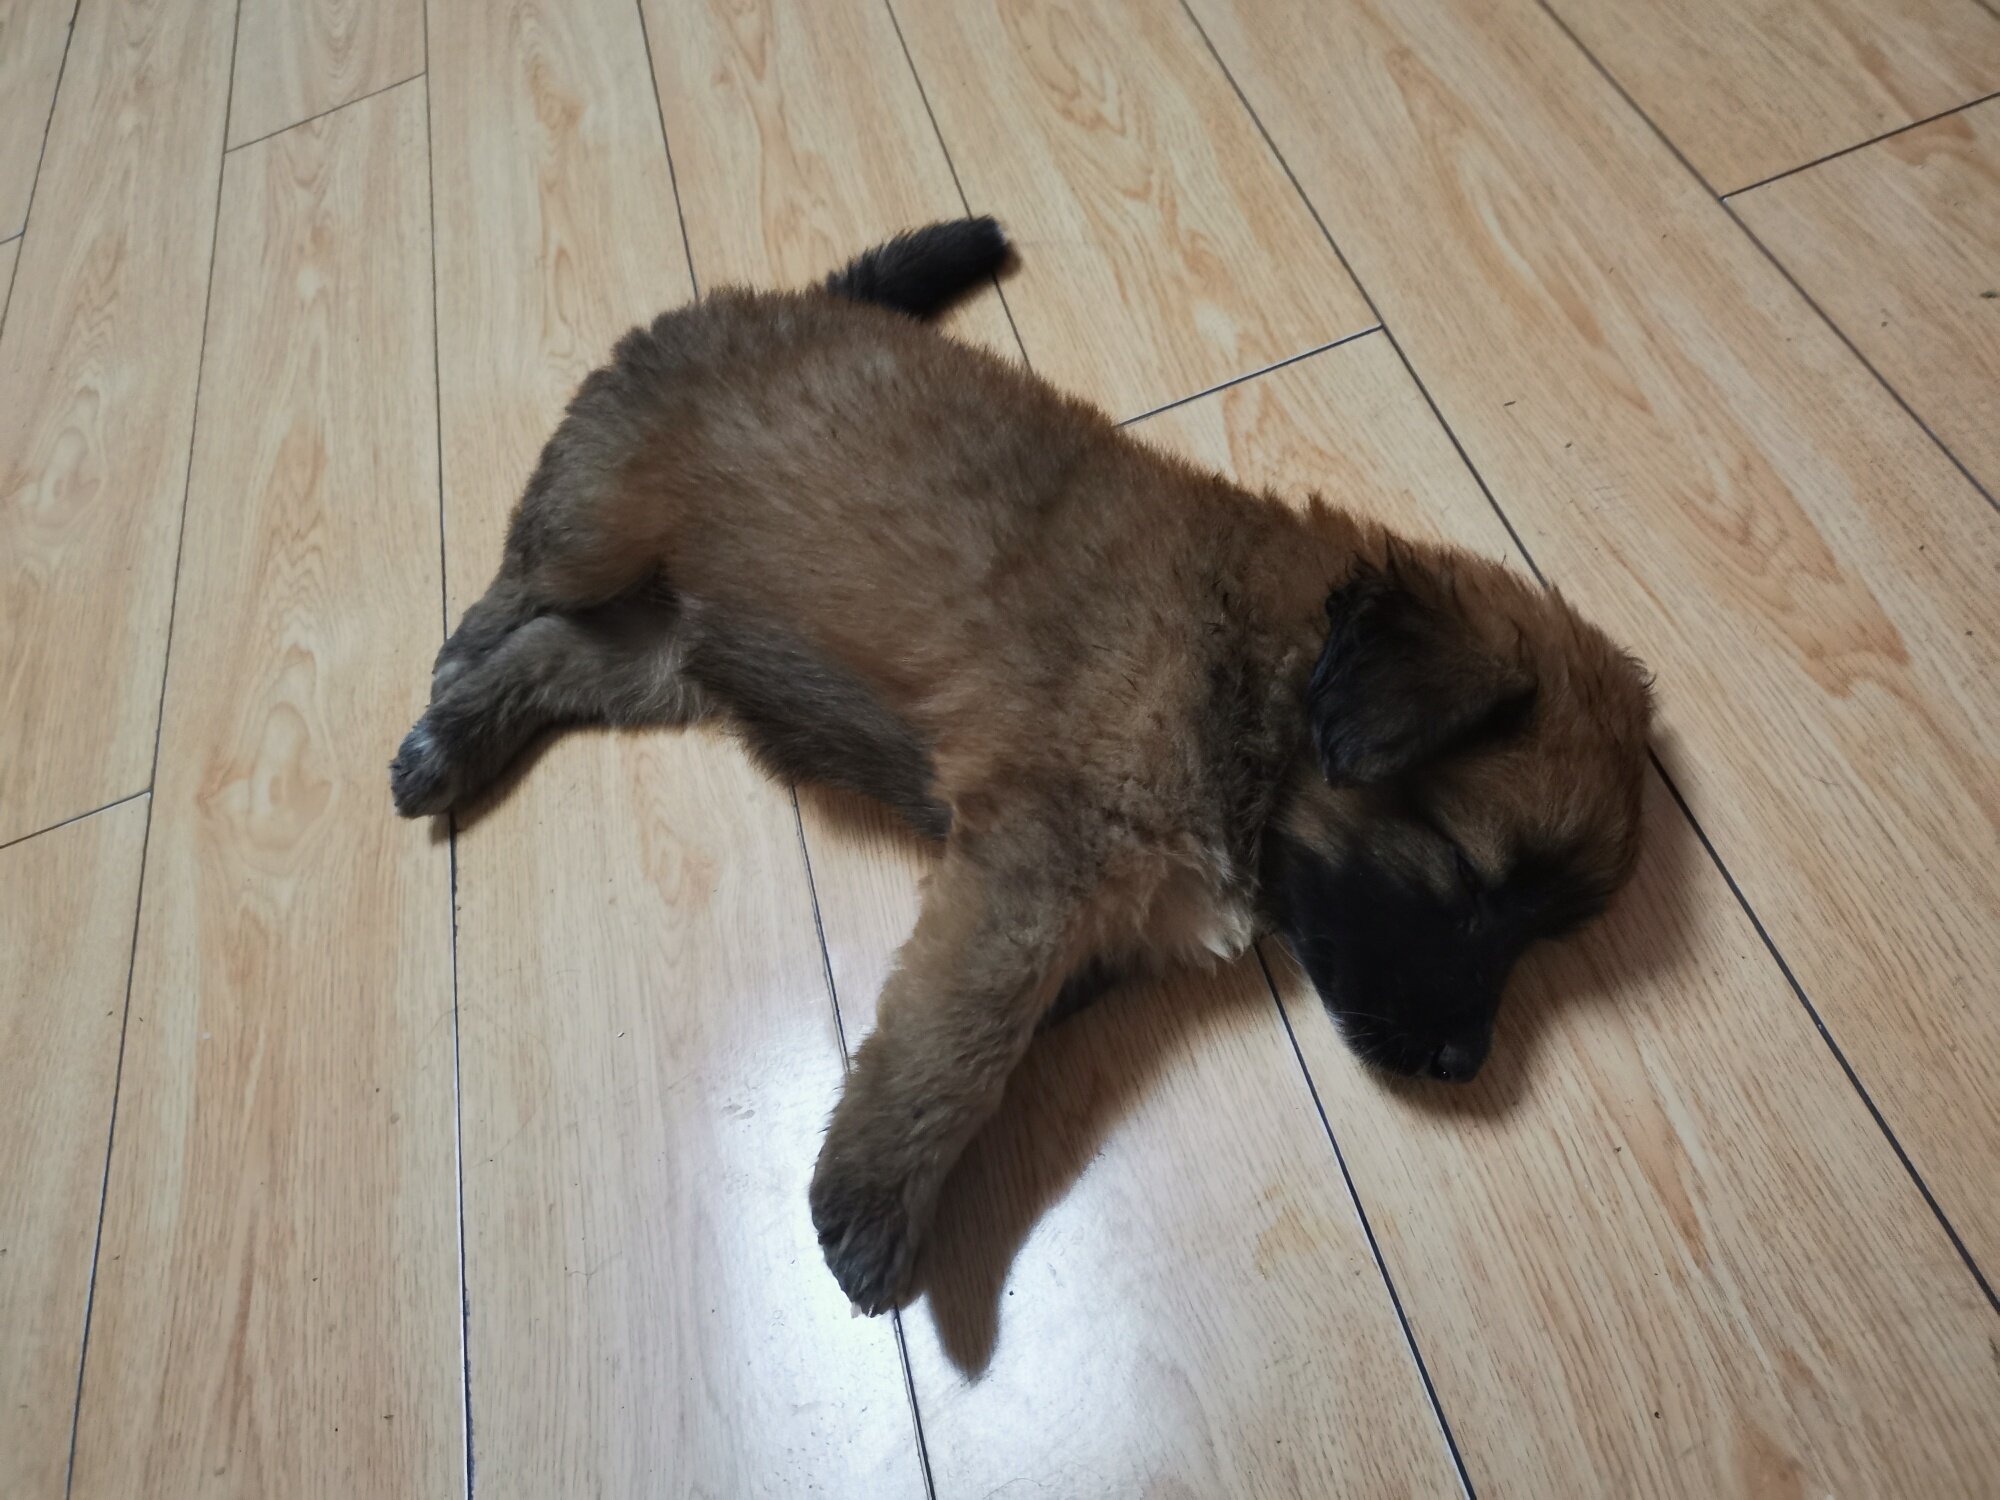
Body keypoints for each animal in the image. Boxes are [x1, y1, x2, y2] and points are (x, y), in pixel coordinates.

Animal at [391, 218, 1653, 1313]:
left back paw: (454, 737)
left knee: (561, 655)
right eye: (1467, 876)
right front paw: (874, 1205)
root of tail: (787, 298)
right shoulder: (1040, 857)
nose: (1460, 1062)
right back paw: (449, 684)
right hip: (603, 517)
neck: (1259, 668)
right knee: (518, 587)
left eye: (1546, 934)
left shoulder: (1068, 909)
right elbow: (964, 1031)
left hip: (674, 650)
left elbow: (973, 1014)